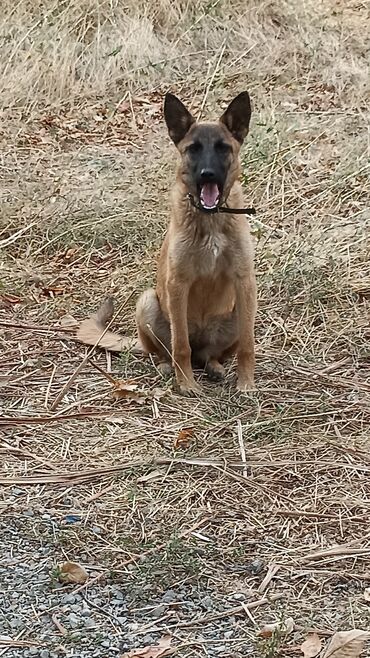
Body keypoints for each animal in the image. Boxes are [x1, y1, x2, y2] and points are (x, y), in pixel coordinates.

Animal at [77, 89, 258, 392]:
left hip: (234, 312)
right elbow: (180, 344)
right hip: (148, 301)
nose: (207, 174)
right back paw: (167, 367)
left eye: (223, 148)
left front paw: (246, 383)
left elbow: (248, 344)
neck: (209, 220)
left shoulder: (244, 282)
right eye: (193, 149)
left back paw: (215, 367)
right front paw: (186, 384)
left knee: (209, 356)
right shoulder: (178, 284)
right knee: (168, 351)